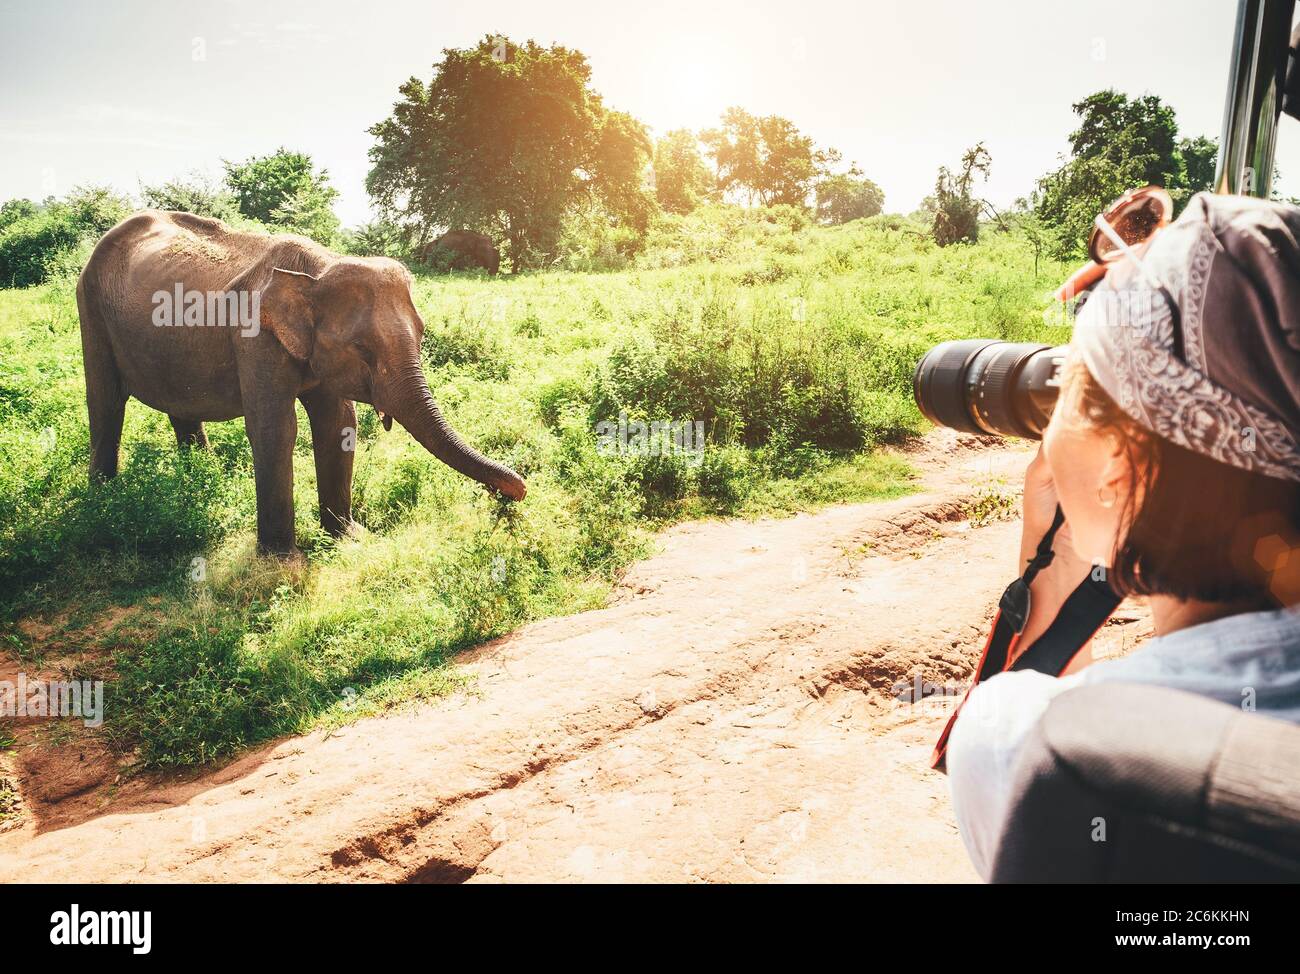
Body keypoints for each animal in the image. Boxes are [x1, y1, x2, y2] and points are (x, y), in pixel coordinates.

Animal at [74, 210, 522, 553]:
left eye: (423, 334)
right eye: (362, 348)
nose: (512, 493)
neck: (317, 271)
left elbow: (338, 423)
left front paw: (348, 538)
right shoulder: (254, 337)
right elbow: (275, 429)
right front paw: (282, 561)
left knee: (180, 407)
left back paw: (201, 479)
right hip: (89, 304)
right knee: (106, 401)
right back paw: (102, 503)